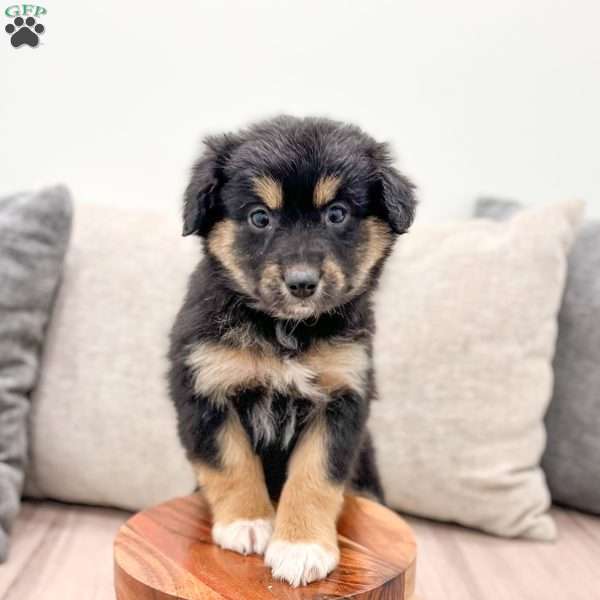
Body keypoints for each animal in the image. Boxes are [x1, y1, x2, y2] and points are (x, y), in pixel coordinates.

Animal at [166, 116, 414, 584]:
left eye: (337, 214)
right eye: (259, 217)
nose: (302, 283)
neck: (285, 331)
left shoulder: (342, 395)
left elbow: (315, 477)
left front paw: (301, 548)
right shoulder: (203, 385)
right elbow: (230, 462)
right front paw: (247, 523)